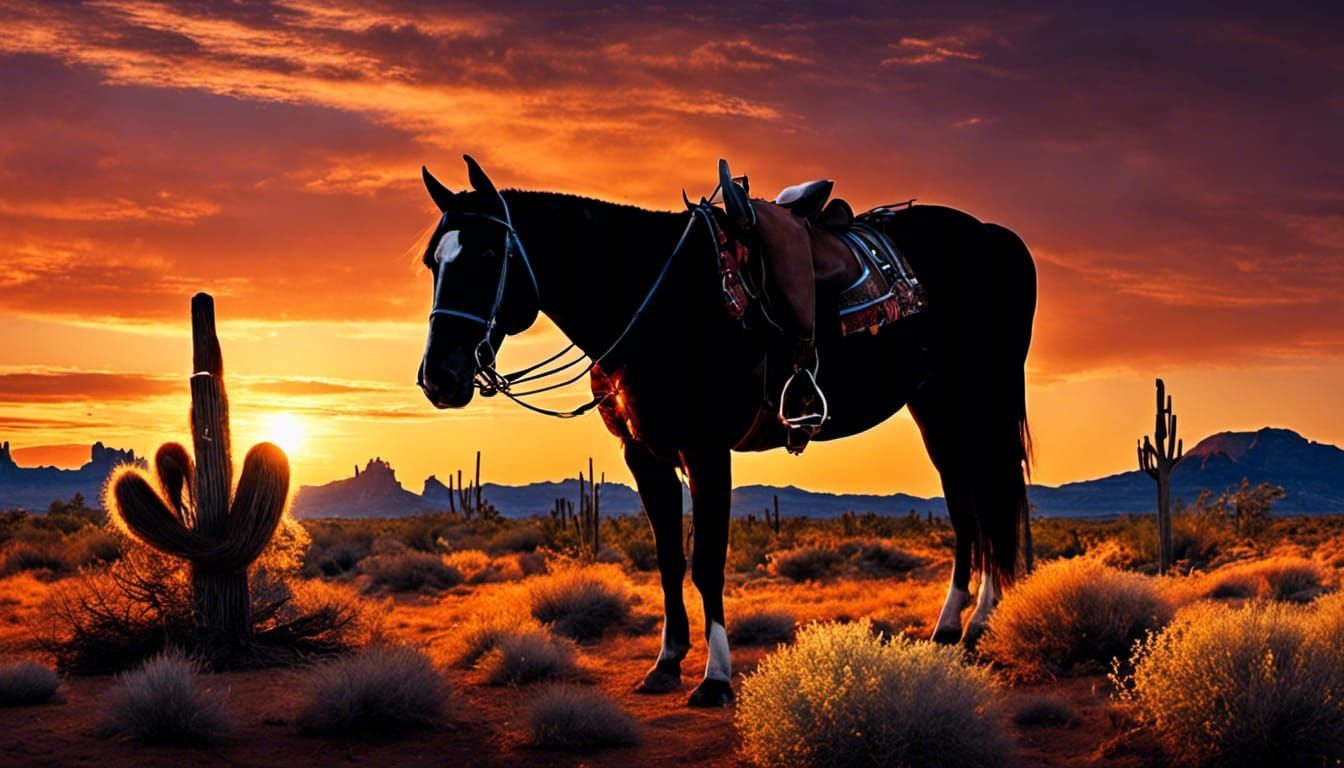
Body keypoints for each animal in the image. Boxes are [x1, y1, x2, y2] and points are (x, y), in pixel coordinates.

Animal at [414, 155, 1036, 707]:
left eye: (488, 253)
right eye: (430, 262)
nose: (439, 377)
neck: (655, 302)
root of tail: (997, 237)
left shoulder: (706, 450)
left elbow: (707, 561)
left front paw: (715, 679)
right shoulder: (645, 455)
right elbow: (669, 558)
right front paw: (666, 664)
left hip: (978, 401)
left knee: (987, 500)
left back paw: (972, 623)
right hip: (937, 407)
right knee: (968, 507)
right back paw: (954, 628)